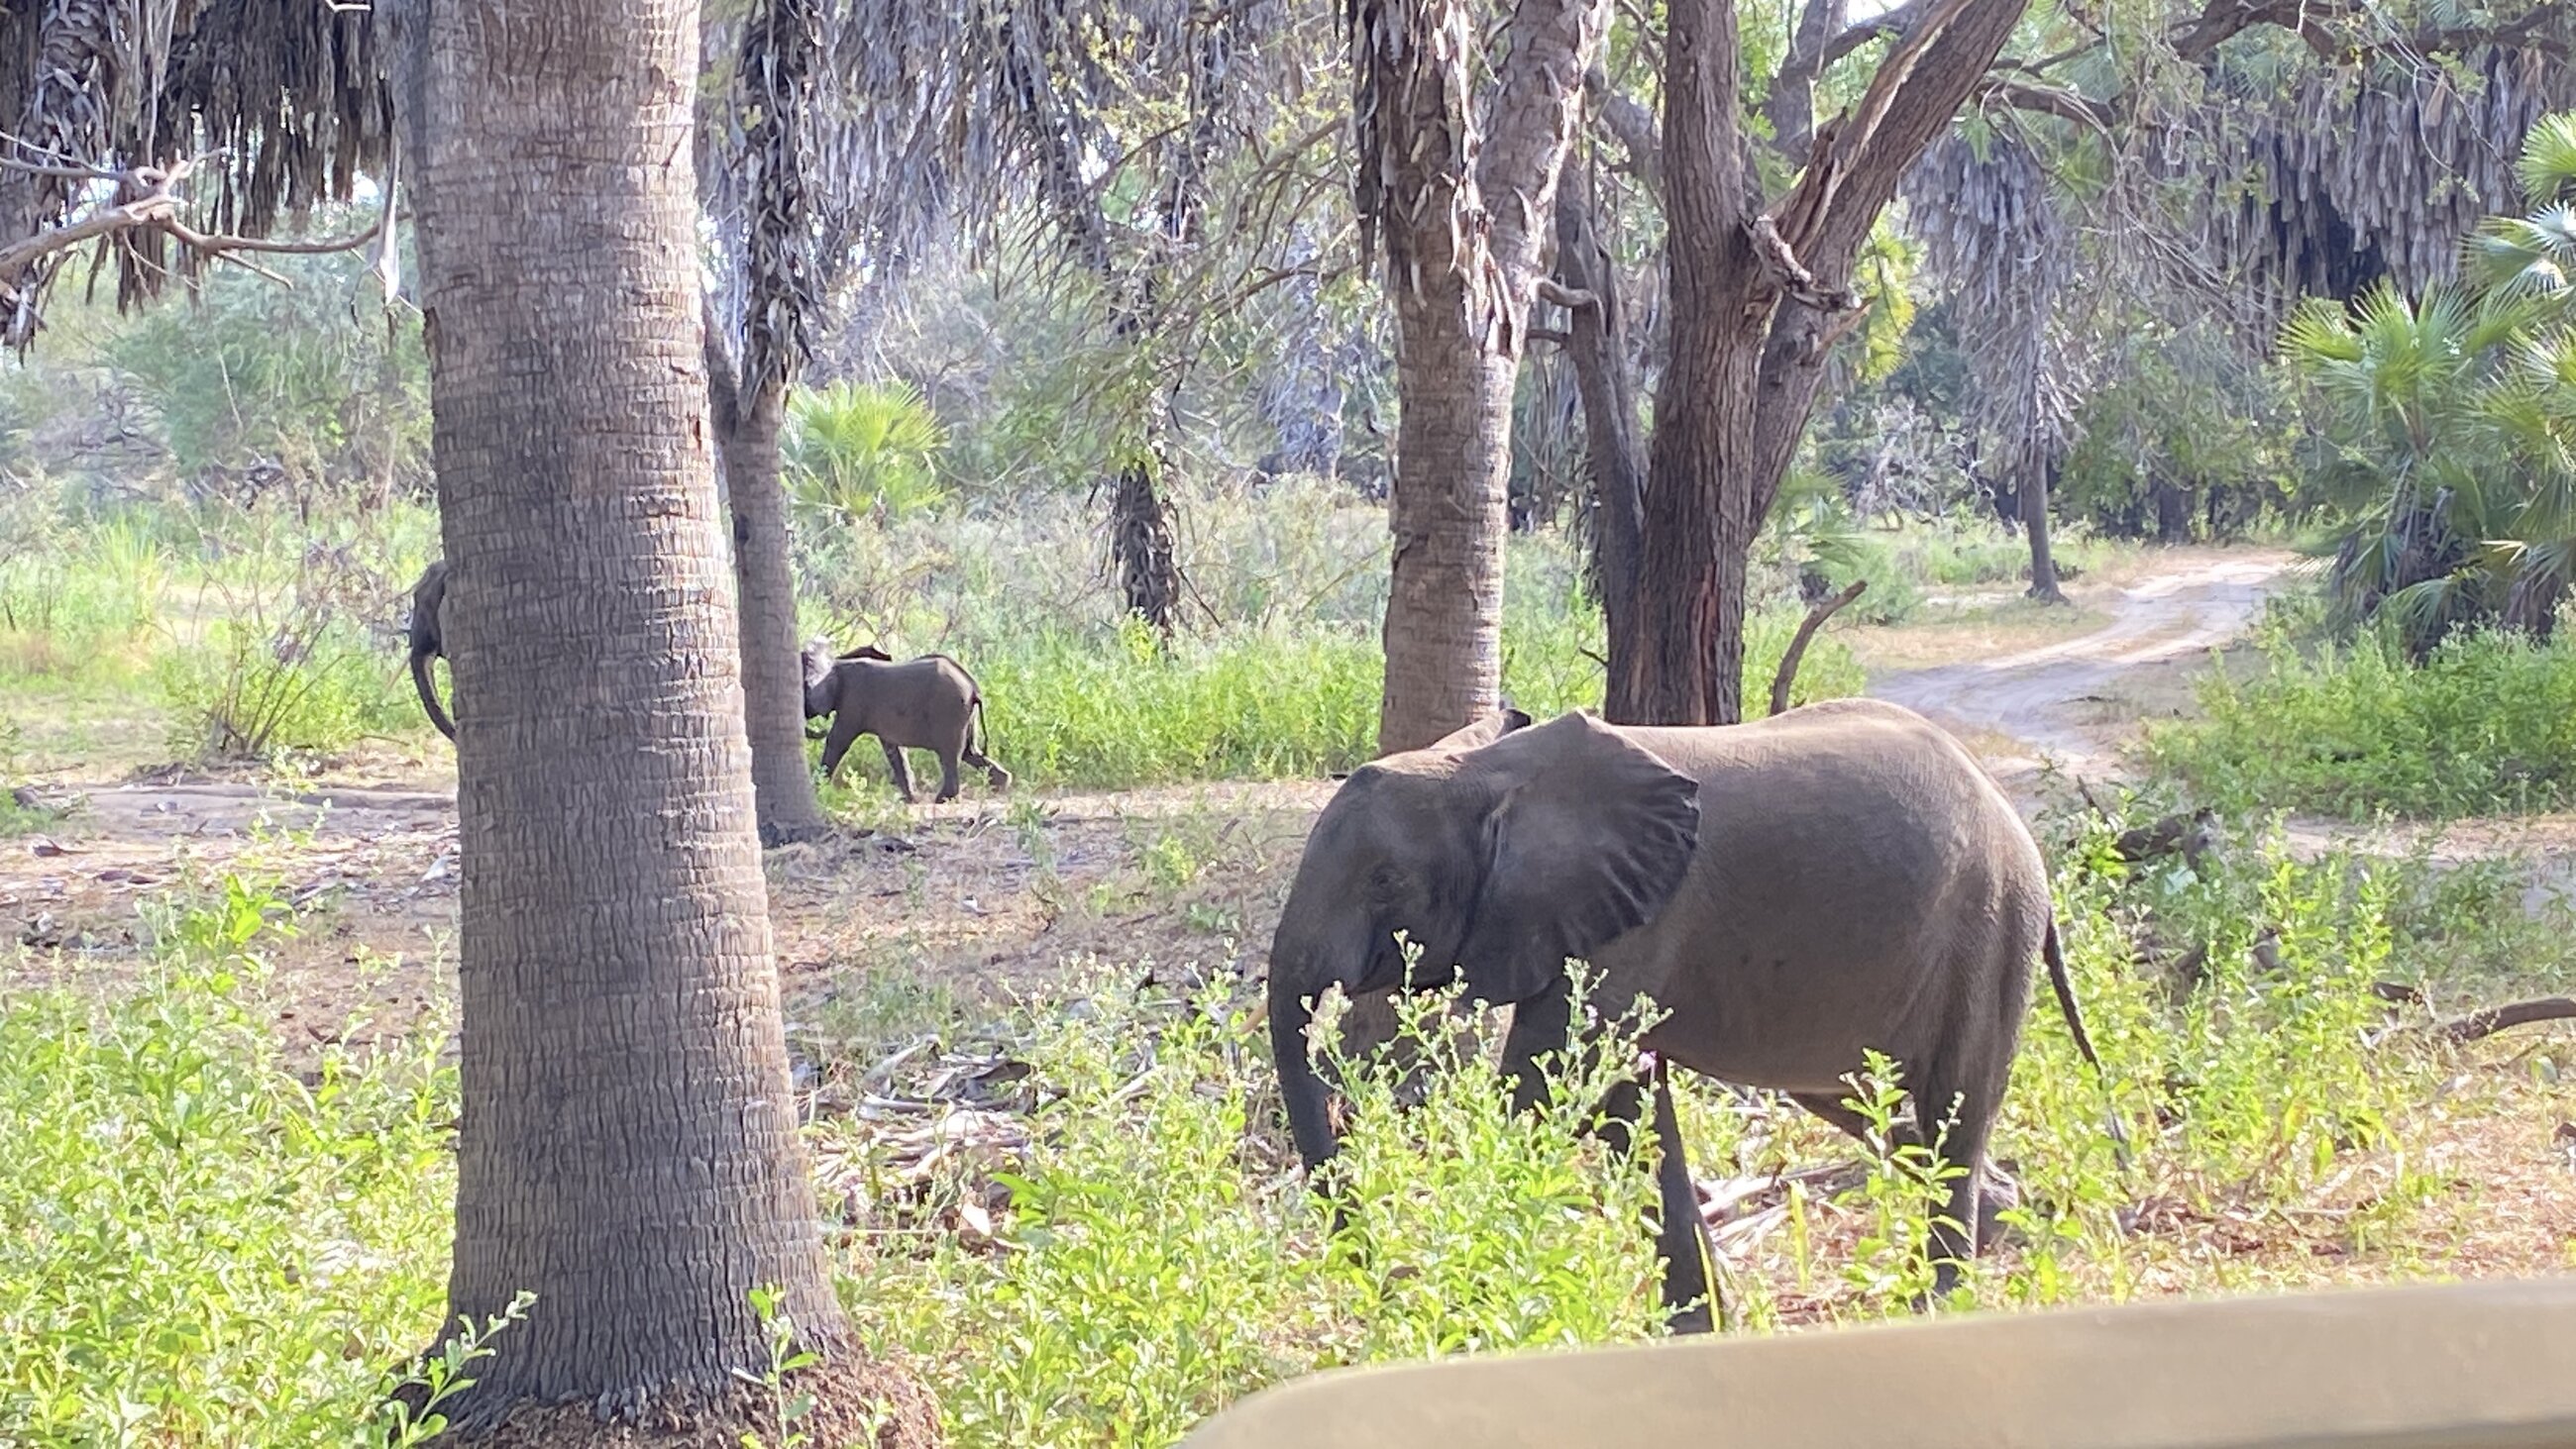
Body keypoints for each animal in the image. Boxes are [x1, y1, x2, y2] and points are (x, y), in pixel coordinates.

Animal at [800, 642, 1010, 803]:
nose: (818, 728)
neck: (837, 663)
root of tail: (973, 687)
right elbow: (894, 749)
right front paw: (910, 799)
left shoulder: (852, 703)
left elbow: (837, 740)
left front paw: (817, 790)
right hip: (964, 715)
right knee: (969, 752)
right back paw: (1002, 784)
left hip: (949, 710)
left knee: (950, 754)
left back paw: (943, 799)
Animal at [1265, 698, 2110, 1332]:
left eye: (1383, 880)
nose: (1389, 1284)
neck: (1480, 771)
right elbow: (1628, 1105)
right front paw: (1694, 1331)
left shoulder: (1631, 925)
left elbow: (1548, 1089)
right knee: (1882, 1108)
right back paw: (2010, 1217)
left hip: (1989, 926)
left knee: (1952, 1107)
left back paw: (1934, 1301)